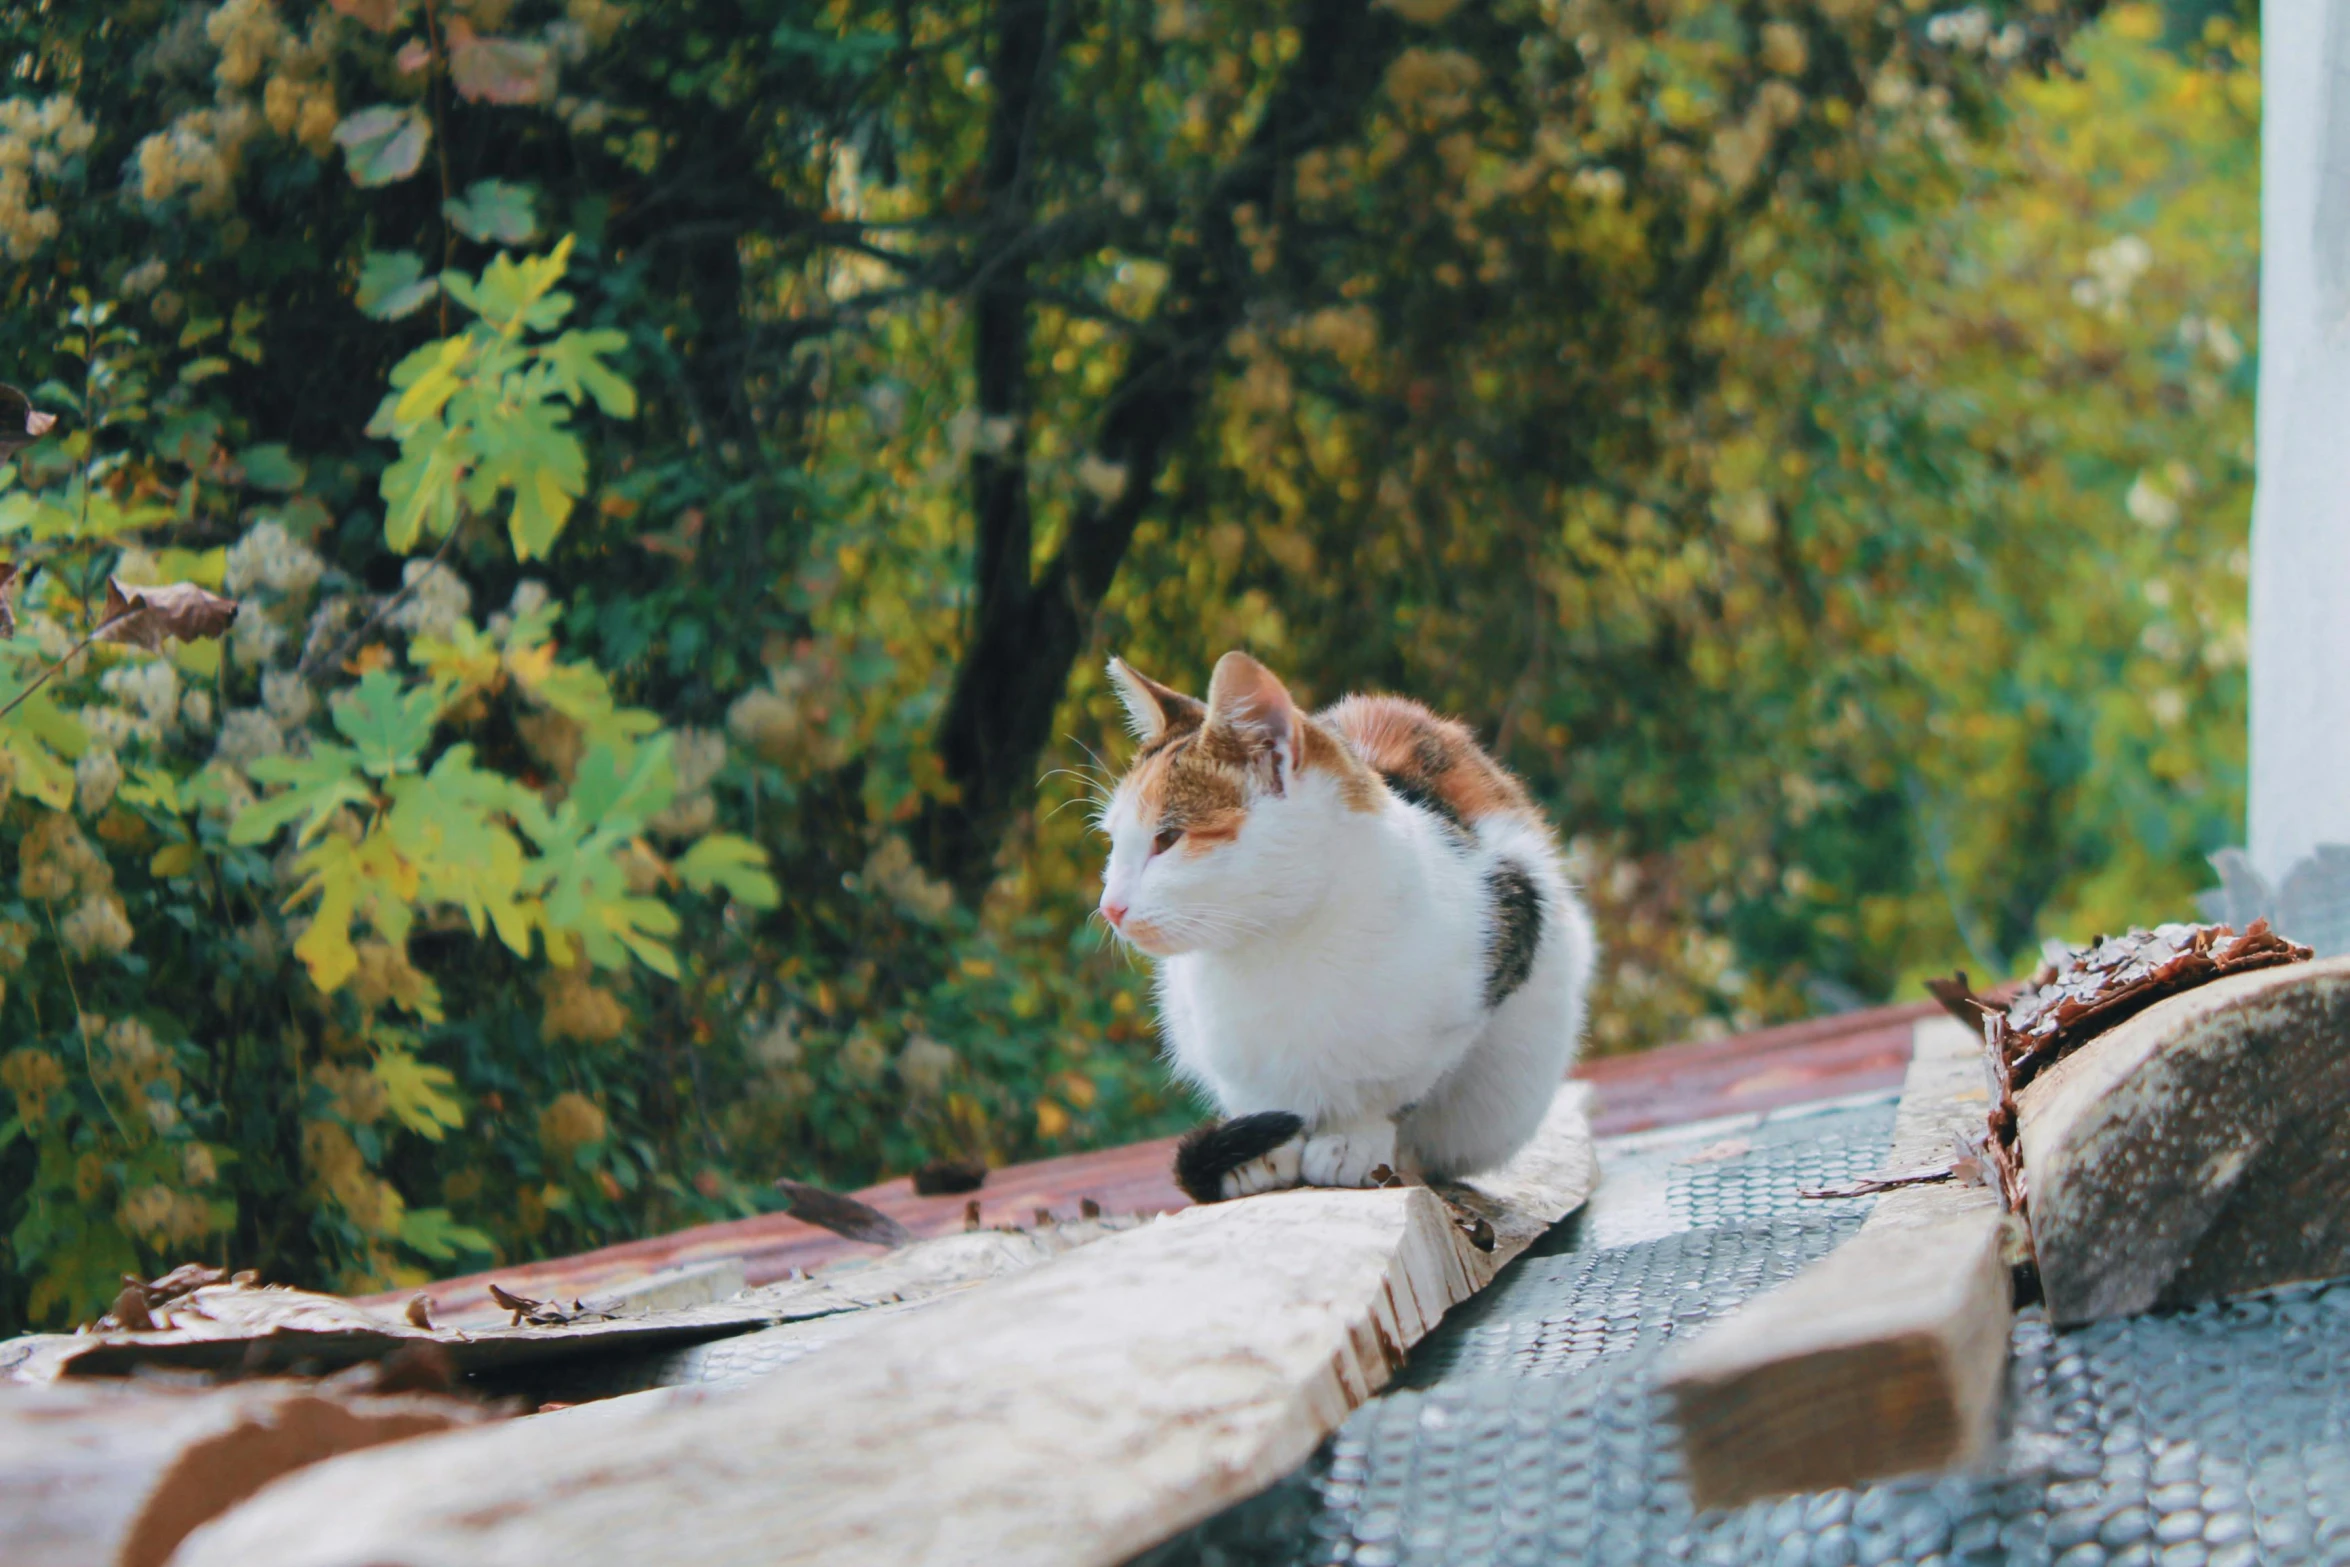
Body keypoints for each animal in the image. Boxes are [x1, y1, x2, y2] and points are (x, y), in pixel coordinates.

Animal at [1099, 648, 1597, 1202]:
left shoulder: (1505, 930)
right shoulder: (1219, 1045)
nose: (1109, 907)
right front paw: (1266, 1156)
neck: (1280, 946)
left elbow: (1392, 1090)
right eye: (1114, 842)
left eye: (1168, 839)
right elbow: (1263, 1099)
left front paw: (1353, 1141)